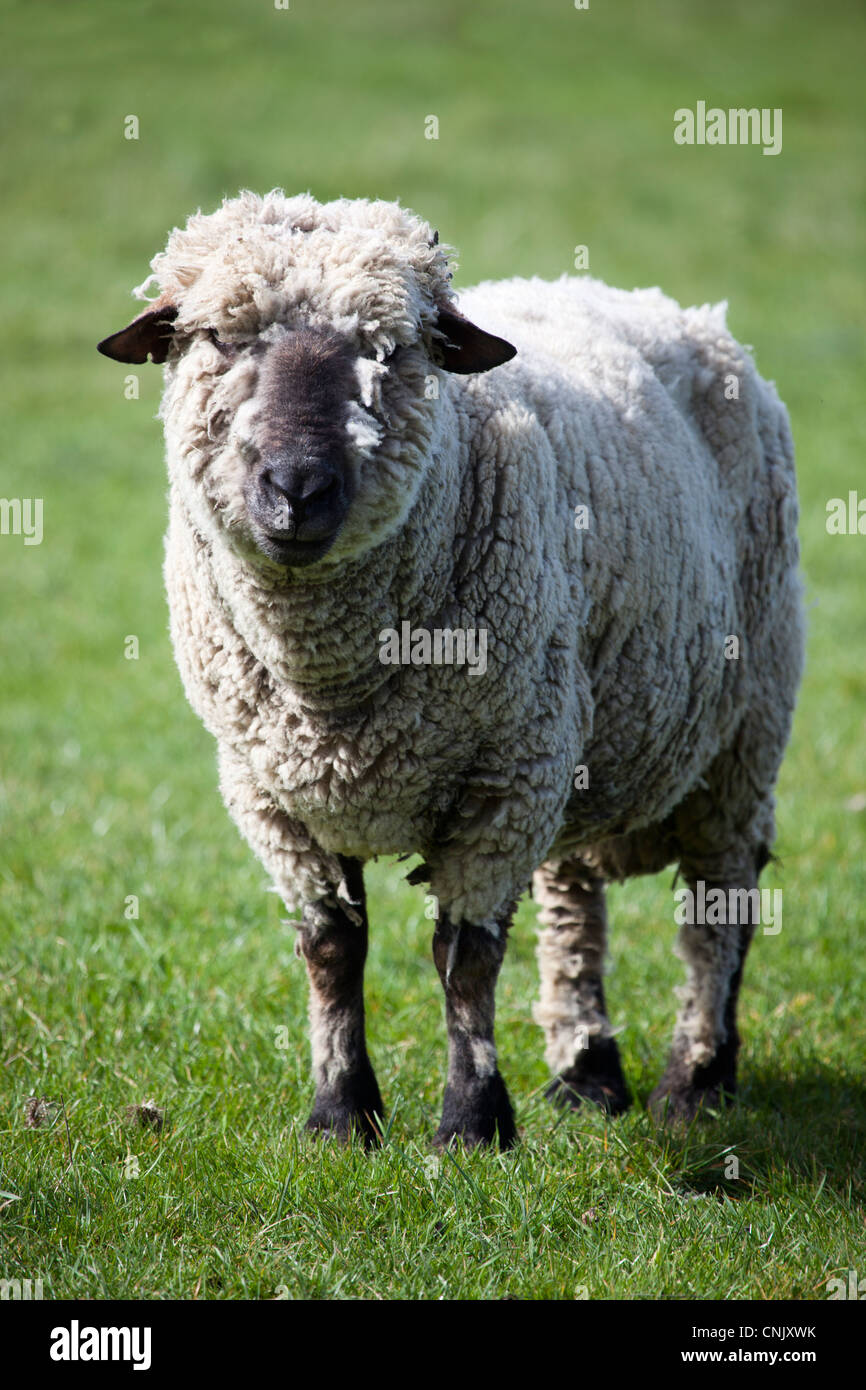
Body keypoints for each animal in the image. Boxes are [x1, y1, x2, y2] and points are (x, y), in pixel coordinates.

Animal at [97, 195, 800, 1150]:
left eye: (393, 348)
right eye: (216, 338)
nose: (296, 487)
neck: (332, 686)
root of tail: (661, 303)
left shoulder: (503, 780)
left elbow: (465, 958)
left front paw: (471, 1123)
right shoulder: (269, 792)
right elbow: (331, 947)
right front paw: (340, 1116)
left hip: (743, 724)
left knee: (719, 905)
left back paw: (696, 1082)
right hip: (578, 743)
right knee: (574, 902)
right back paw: (587, 1074)